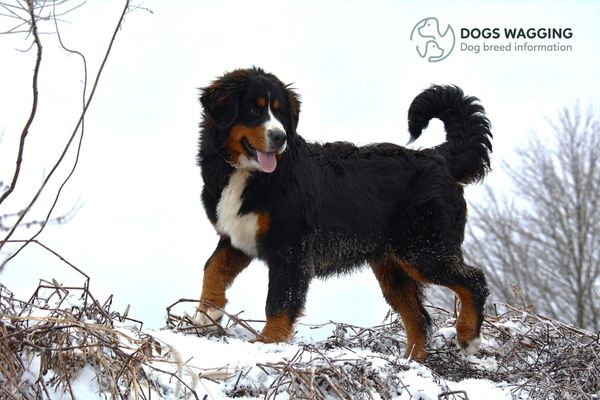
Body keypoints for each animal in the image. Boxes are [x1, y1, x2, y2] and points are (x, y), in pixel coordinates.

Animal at [197, 67, 492, 360]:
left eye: (280, 114)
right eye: (253, 110)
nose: (280, 137)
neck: (249, 175)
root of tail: (437, 157)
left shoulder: (290, 250)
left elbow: (279, 302)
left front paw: (268, 343)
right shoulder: (237, 237)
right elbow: (213, 268)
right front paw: (207, 313)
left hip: (423, 250)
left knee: (474, 280)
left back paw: (468, 337)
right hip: (394, 266)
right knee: (418, 317)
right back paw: (411, 362)